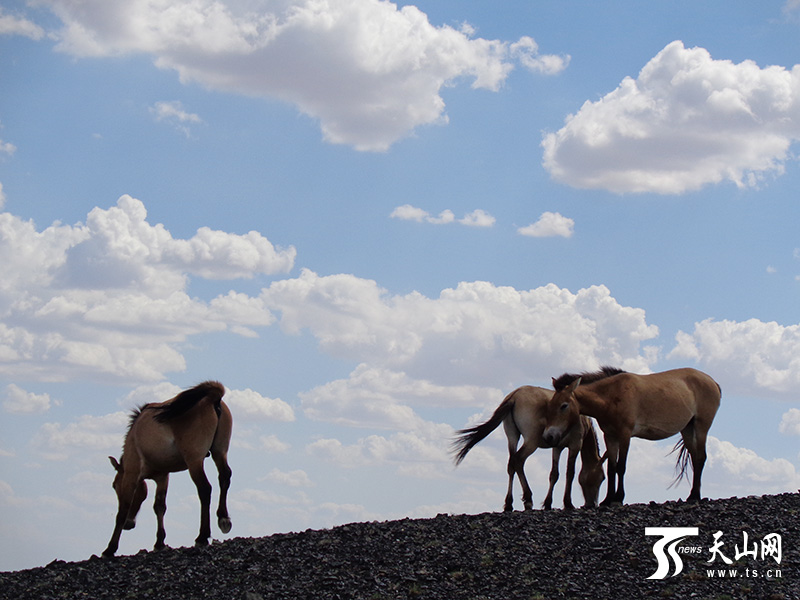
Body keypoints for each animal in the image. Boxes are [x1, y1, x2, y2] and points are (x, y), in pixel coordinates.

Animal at [101, 380, 233, 556]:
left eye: (115, 486)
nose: (130, 524)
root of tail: (213, 397)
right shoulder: (162, 477)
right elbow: (159, 507)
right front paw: (159, 542)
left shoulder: (131, 473)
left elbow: (123, 509)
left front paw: (110, 548)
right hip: (220, 451)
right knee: (224, 477)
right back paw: (223, 518)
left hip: (194, 460)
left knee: (205, 489)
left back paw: (202, 536)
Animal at [454, 386, 604, 512]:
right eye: (603, 478)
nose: (593, 504)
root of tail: (515, 396)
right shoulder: (575, 445)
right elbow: (570, 473)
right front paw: (568, 503)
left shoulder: (557, 447)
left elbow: (554, 474)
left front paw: (548, 503)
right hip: (531, 442)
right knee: (518, 460)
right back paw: (528, 499)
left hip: (512, 437)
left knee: (511, 465)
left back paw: (509, 503)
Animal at [540, 366, 720, 506]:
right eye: (549, 405)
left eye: (563, 406)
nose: (549, 436)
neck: (610, 396)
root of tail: (713, 382)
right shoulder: (610, 436)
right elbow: (612, 467)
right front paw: (607, 500)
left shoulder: (625, 435)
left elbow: (621, 466)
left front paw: (619, 498)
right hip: (687, 429)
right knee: (695, 457)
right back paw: (693, 494)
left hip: (701, 426)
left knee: (700, 458)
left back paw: (695, 496)